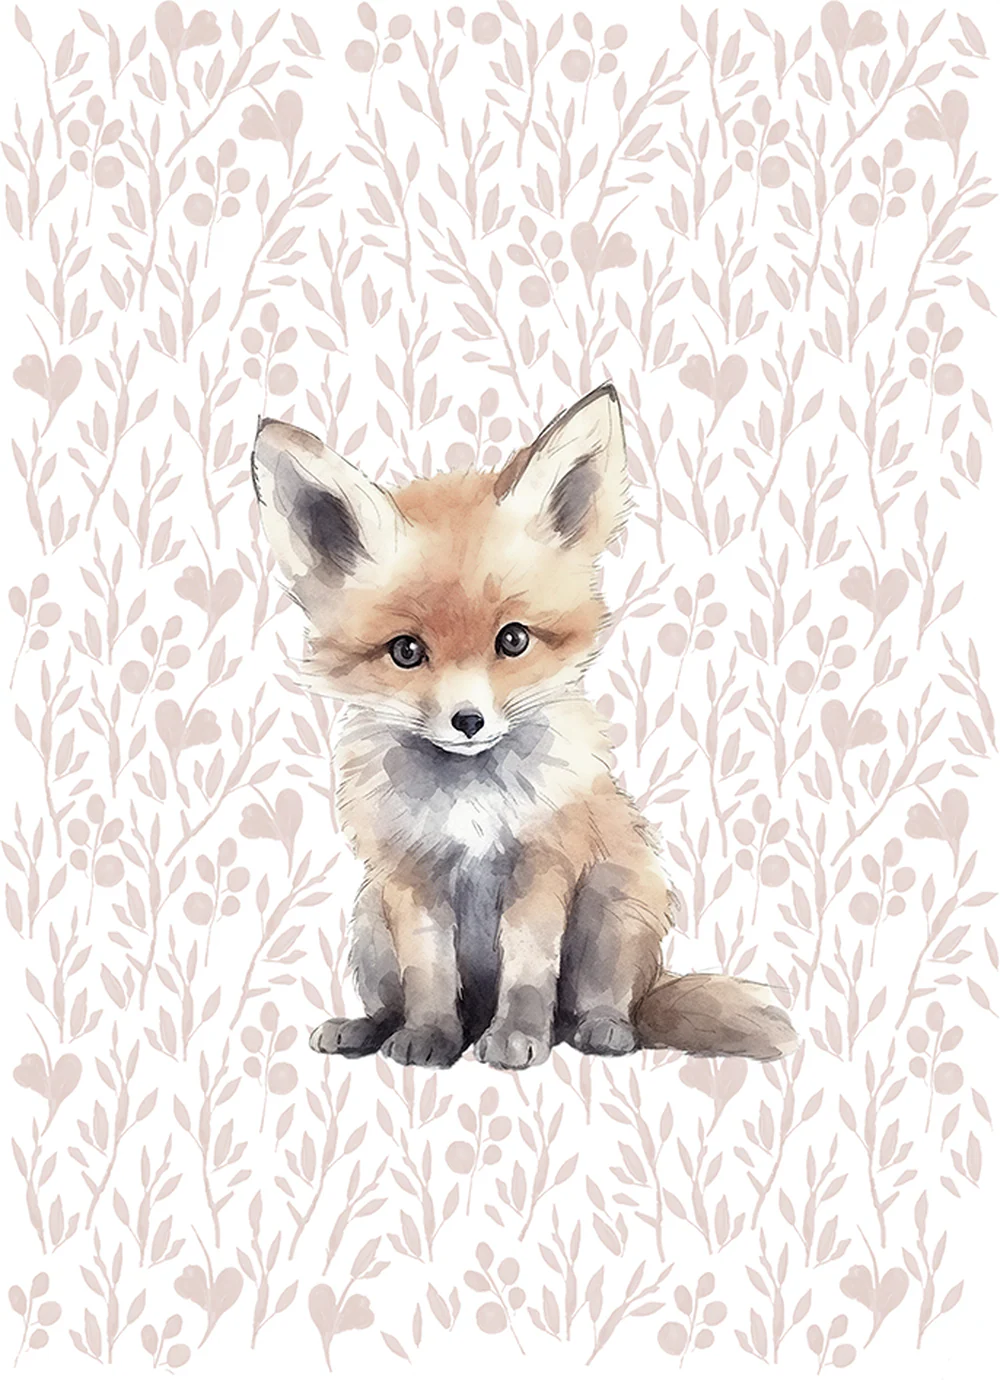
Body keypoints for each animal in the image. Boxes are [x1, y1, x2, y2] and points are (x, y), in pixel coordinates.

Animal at [250, 382, 799, 1070]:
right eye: (406, 651)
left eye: (512, 640)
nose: (468, 720)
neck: (471, 802)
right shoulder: (411, 878)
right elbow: (428, 977)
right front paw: (429, 1037)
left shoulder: (543, 868)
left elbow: (529, 973)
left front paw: (515, 1037)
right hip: (369, 918)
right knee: (396, 999)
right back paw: (369, 1027)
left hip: (615, 904)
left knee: (602, 1003)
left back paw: (601, 1029)